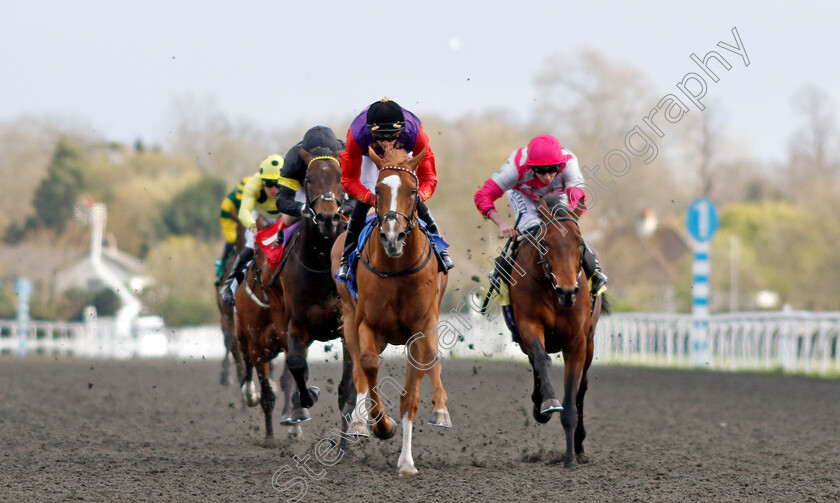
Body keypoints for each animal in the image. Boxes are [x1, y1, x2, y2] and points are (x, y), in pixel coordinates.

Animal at [332, 145, 452, 476]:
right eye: (377, 190)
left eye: (413, 191)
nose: (392, 236)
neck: (398, 269)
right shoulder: (367, 324)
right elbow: (369, 365)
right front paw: (380, 424)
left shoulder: (422, 327)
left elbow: (416, 384)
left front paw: (409, 459)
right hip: (351, 319)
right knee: (359, 369)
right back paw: (360, 422)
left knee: (422, 378)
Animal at [508, 194, 608, 468]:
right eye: (545, 242)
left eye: (579, 242)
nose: (568, 291)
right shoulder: (528, 326)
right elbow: (542, 359)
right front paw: (547, 402)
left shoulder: (577, 344)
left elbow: (572, 401)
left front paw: (571, 458)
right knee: (537, 362)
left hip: (590, 344)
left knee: (582, 389)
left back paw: (579, 445)